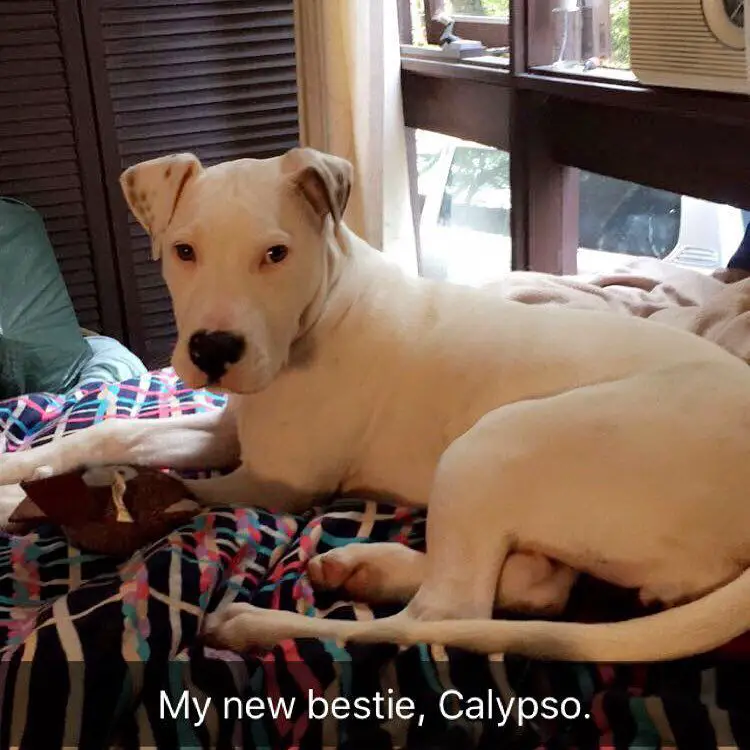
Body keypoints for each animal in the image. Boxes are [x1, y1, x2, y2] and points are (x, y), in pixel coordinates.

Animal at [4, 148, 750, 664]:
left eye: (276, 254)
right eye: (184, 250)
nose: (213, 348)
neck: (318, 313)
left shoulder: (278, 481)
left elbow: (177, 492)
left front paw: (39, 500)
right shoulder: (228, 432)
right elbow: (111, 434)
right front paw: (20, 471)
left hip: (496, 442)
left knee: (441, 614)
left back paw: (261, 621)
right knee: (529, 586)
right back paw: (365, 567)